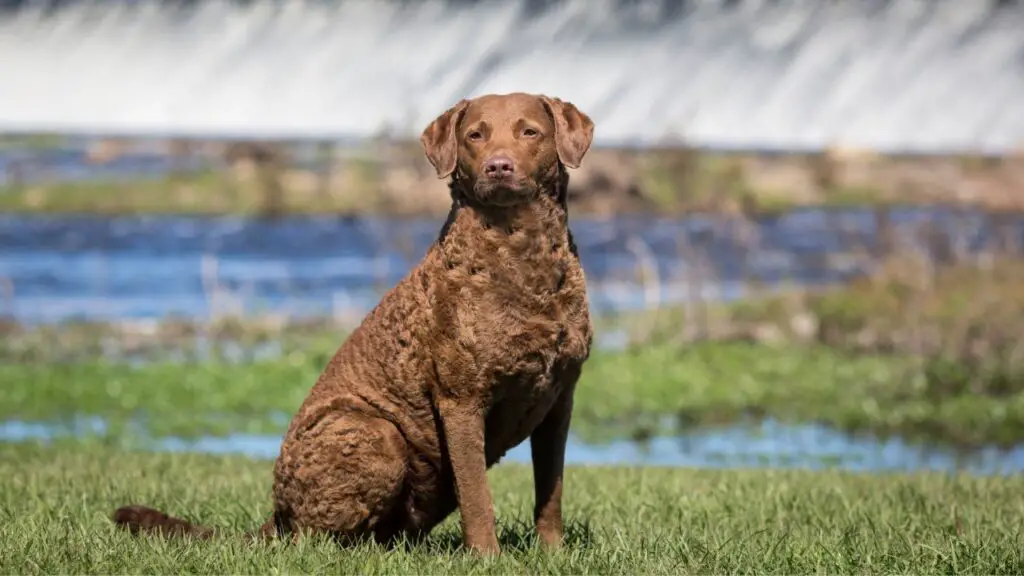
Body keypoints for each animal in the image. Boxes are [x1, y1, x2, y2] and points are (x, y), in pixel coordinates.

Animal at [112, 91, 598, 553]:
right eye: (475, 135)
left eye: (530, 132)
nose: (499, 166)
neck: (522, 259)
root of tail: (277, 514)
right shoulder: (461, 400)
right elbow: (478, 496)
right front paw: (486, 558)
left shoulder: (561, 399)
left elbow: (550, 491)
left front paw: (552, 553)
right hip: (375, 433)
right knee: (314, 538)